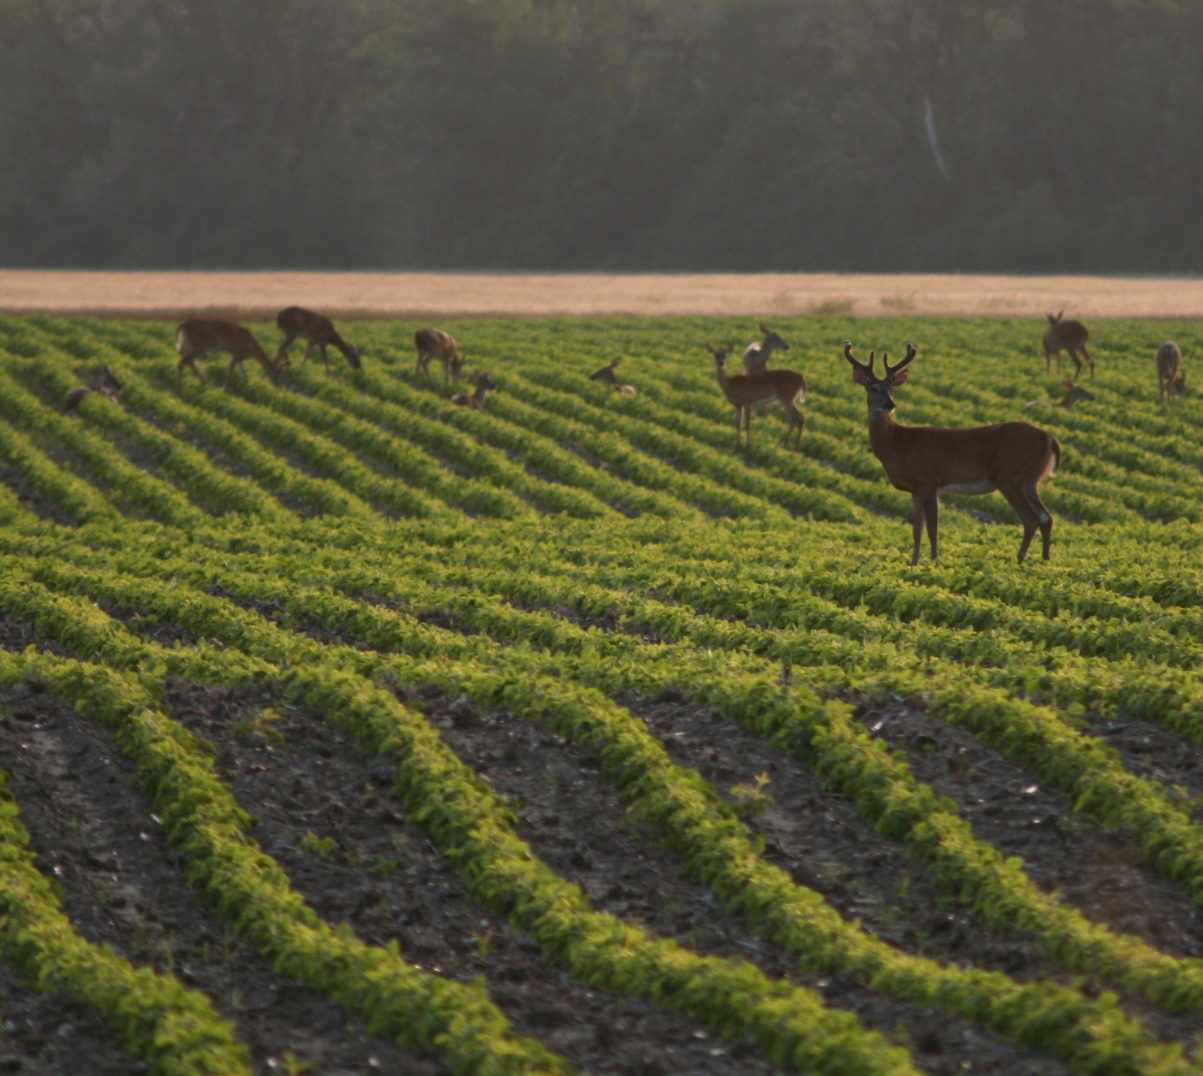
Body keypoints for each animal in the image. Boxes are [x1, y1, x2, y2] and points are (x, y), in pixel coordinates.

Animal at [845, 341, 1061, 565]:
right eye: (874, 388)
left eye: (892, 388)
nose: (890, 404)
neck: (896, 442)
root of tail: (1050, 439)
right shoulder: (915, 489)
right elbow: (916, 531)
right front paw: (914, 565)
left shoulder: (928, 481)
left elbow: (933, 529)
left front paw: (934, 562)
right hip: (1031, 479)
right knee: (1046, 517)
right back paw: (1044, 560)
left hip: (1010, 476)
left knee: (1031, 518)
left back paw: (1020, 560)